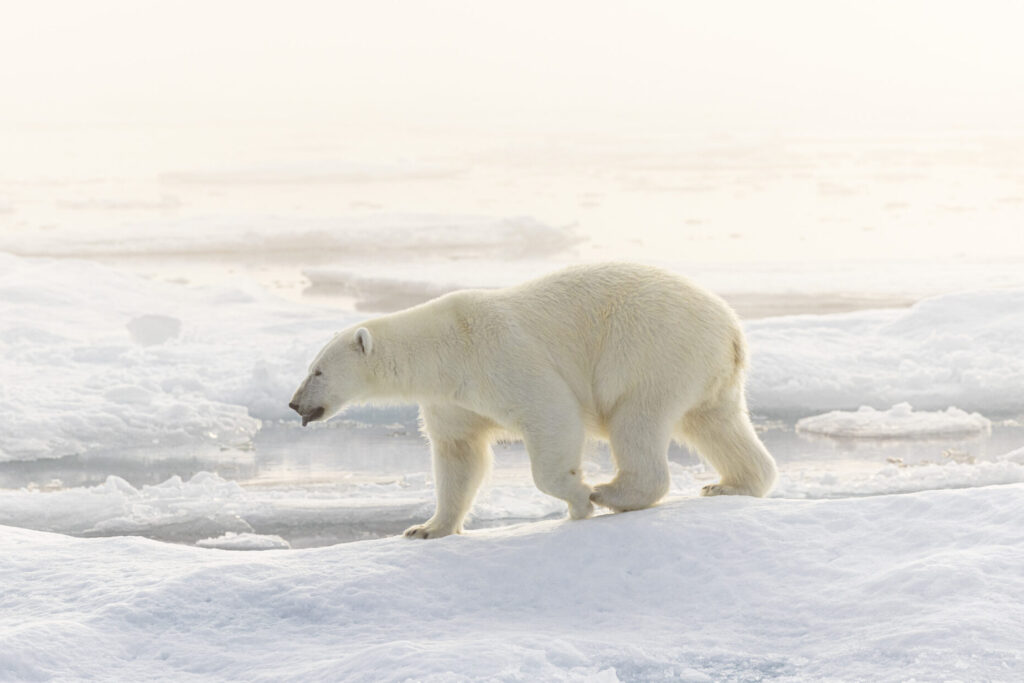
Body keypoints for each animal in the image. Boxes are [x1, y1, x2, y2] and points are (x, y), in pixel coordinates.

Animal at [288, 262, 774, 540]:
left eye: (317, 371)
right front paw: (426, 528)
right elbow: (459, 453)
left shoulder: (500, 356)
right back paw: (730, 483)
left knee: (636, 420)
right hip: (707, 373)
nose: (294, 404)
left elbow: (552, 415)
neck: (444, 349)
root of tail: (731, 329)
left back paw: (612, 491)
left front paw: (579, 499)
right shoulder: (451, 398)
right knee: (716, 422)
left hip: (650, 349)